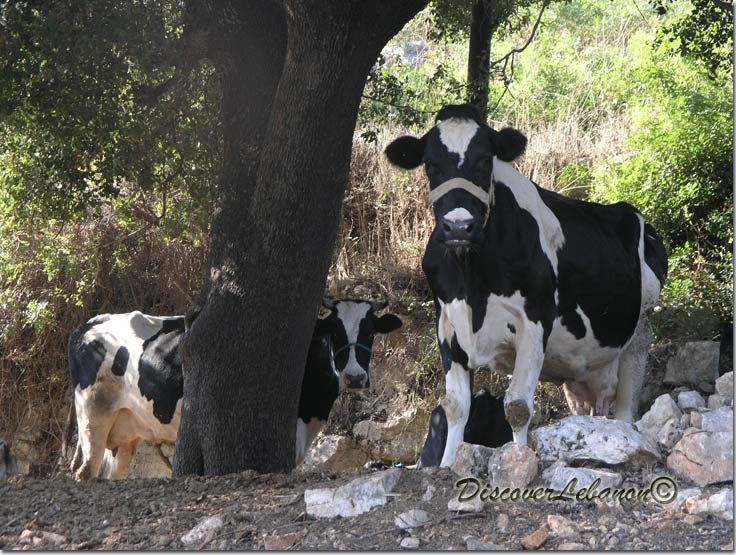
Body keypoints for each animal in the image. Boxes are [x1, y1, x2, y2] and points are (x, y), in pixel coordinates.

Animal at [63, 299, 402, 480]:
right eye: (336, 331)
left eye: (370, 331)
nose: (356, 377)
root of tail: (90, 323)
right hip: (93, 416)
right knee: (86, 472)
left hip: (124, 434)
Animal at [385, 103, 667, 467]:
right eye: (431, 164)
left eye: (484, 161)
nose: (459, 227)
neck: (472, 281)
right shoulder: (446, 322)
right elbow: (454, 406)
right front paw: (447, 464)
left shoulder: (534, 321)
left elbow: (517, 406)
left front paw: (518, 458)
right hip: (582, 371)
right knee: (585, 407)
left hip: (640, 328)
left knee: (626, 404)